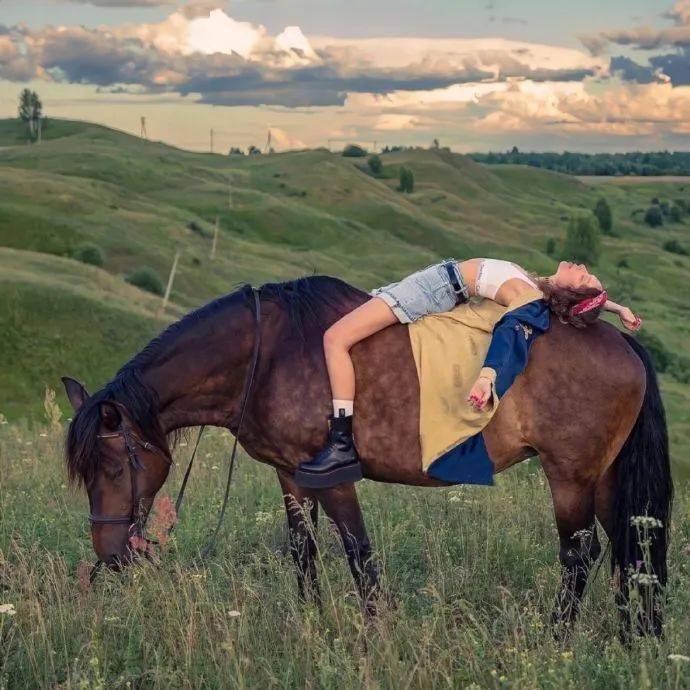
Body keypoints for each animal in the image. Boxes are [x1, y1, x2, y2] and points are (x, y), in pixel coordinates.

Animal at [61, 274, 668, 636]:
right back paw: (633, 637)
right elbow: (302, 550)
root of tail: (620, 342)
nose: (109, 555)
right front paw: (312, 621)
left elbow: (359, 554)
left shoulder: (334, 478)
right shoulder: (292, 474)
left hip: (570, 476)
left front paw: (375, 633)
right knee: (631, 550)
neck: (268, 355)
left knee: (580, 555)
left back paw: (555, 639)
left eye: (111, 466)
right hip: (606, 477)